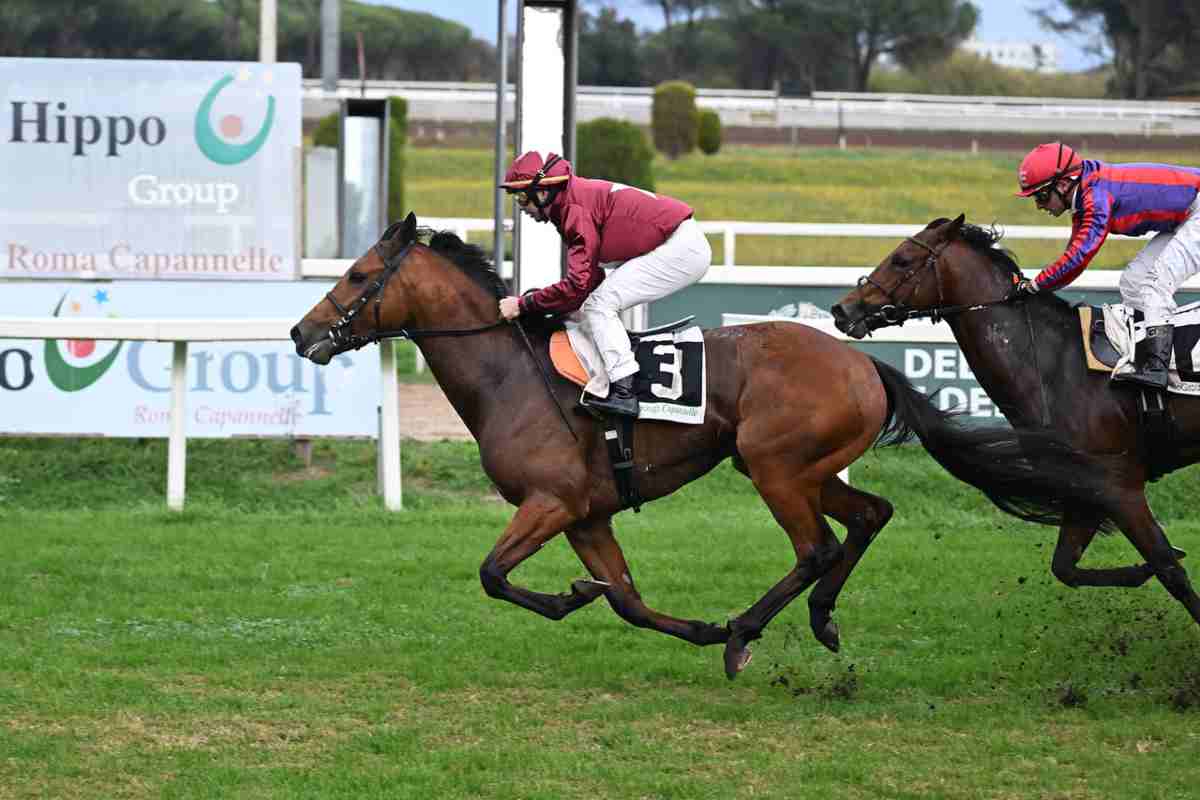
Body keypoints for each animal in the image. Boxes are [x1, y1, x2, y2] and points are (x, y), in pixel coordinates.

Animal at [292, 214, 1113, 681]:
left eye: (358, 275)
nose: (302, 332)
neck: (511, 375)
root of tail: (861, 360)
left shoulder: (551, 502)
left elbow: (494, 574)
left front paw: (576, 598)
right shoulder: (588, 514)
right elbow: (625, 599)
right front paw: (680, 622)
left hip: (776, 466)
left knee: (816, 545)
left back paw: (749, 630)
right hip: (796, 465)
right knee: (870, 515)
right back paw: (816, 619)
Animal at [830, 215, 1200, 628]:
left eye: (902, 260)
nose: (843, 310)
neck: (1056, 362)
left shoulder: (1121, 487)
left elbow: (1170, 569)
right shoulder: (1087, 487)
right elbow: (1066, 568)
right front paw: (1141, 571)